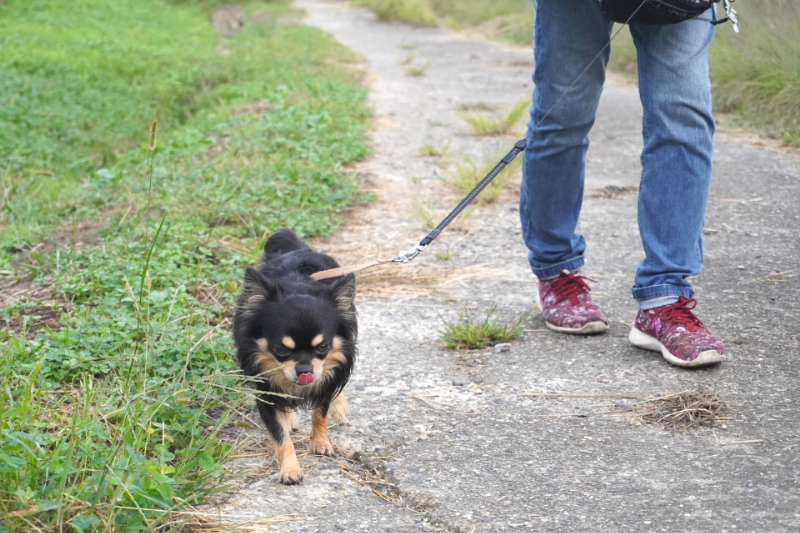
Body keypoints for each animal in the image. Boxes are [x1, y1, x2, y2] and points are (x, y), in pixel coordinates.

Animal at [231, 227, 356, 484]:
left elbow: (321, 413)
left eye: (323, 347)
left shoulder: (324, 378)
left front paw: (321, 442)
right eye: (281, 350)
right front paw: (290, 468)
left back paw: (339, 405)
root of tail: (298, 249)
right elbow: (279, 434)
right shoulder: (265, 392)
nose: (305, 371)